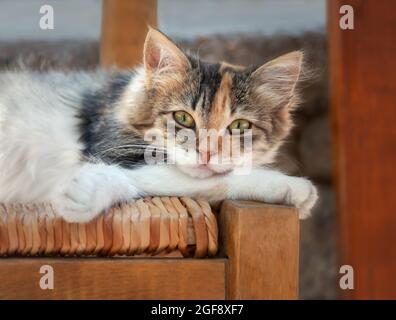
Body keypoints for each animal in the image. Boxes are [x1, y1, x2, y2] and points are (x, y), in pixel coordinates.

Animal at [0, 28, 318, 222]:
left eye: (239, 125)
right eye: (183, 118)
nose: (206, 153)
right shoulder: (114, 150)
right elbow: (214, 179)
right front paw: (296, 188)